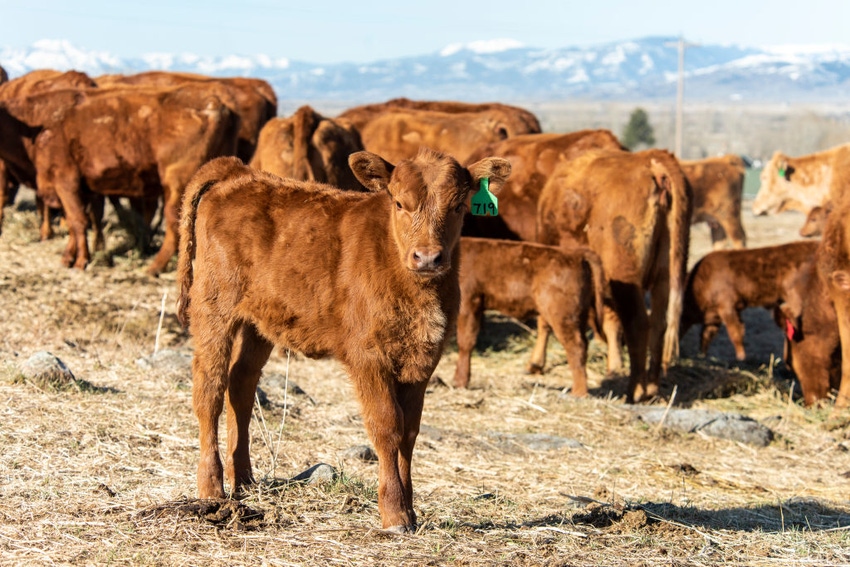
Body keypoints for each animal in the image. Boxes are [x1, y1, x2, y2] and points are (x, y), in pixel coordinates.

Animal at [1, 85, 238, 278]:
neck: (36, 123)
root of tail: (217, 102)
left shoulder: (66, 181)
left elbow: (77, 221)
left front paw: (80, 261)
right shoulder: (81, 189)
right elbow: (75, 221)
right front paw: (69, 256)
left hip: (177, 186)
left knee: (175, 226)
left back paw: (154, 267)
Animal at [175, 150, 510, 532]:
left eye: (458, 206)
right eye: (399, 203)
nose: (427, 257)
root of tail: (237, 171)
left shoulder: (424, 360)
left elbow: (410, 432)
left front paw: (411, 510)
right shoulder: (368, 357)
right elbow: (387, 427)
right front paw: (394, 513)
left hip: (258, 323)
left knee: (240, 386)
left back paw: (243, 479)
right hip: (214, 307)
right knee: (209, 391)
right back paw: (212, 487)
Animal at [454, 237, 608, 398]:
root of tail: (576, 254)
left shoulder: (468, 303)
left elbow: (465, 342)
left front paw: (460, 381)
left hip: (562, 317)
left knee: (576, 347)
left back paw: (578, 392)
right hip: (579, 317)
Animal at [536, 149, 688, 402]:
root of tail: (653, 162)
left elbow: (544, 319)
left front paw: (535, 363)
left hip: (626, 278)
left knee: (638, 324)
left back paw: (634, 390)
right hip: (664, 276)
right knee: (658, 326)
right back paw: (652, 388)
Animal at [676, 242, 816, 362]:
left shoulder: (727, 307)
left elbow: (735, 332)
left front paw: (741, 357)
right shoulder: (715, 316)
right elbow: (706, 335)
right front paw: (702, 356)